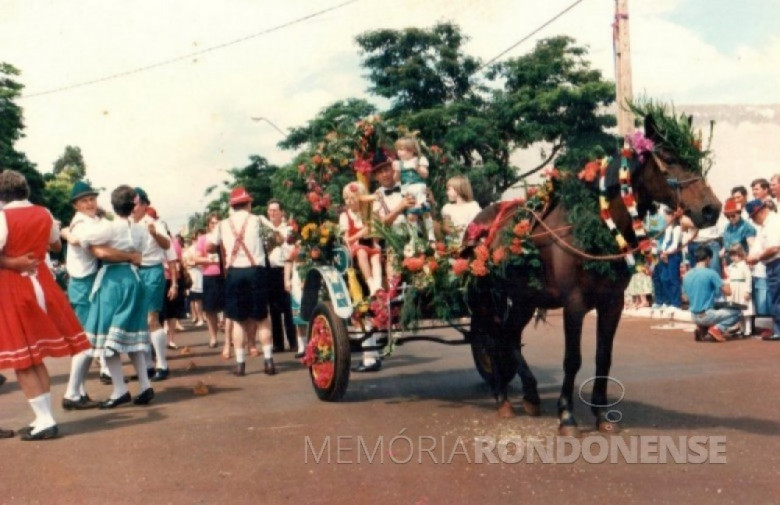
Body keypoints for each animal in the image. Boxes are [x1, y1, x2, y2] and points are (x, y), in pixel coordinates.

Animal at [466, 112, 724, 436]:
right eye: (669, 157)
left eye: (696, 158)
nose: (711, 209)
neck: (594, 226)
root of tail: (479, 223)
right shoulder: (574, 303)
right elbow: (572, 360)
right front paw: (566, 415)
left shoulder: (612, 302)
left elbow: (604, 357)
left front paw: (601, 414)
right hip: (486, 297)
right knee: (491, 338)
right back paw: (501, 397)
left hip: (525, 297)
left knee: (508, 335)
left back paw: (531, 395)